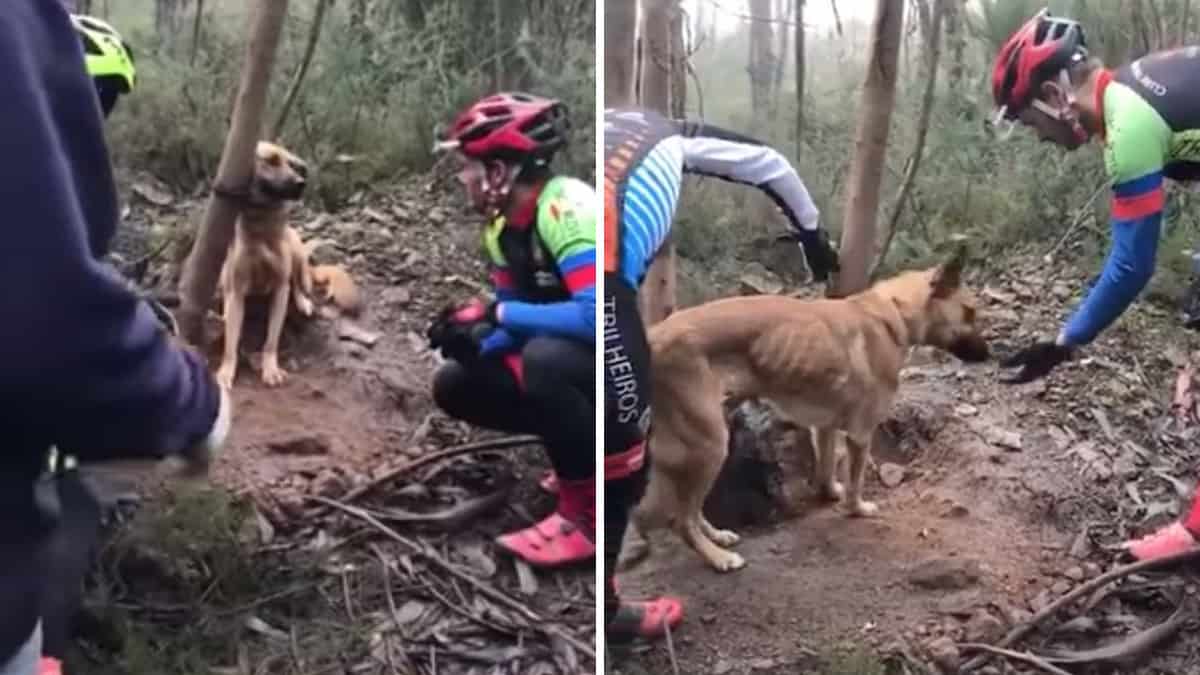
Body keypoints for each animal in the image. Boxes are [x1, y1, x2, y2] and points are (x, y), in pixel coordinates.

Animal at [633, 243, 988, 569]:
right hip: (709, 445)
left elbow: (827, 465)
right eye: (970, 312)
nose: (990, 354)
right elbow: (856, 481)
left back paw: (717, 536)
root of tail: (654, 335)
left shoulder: (825, 426)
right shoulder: (861, 434)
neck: (894, 313)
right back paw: (718, 558)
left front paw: (830, 493)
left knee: (689, 510)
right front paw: (857, 508)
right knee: (680, 519)